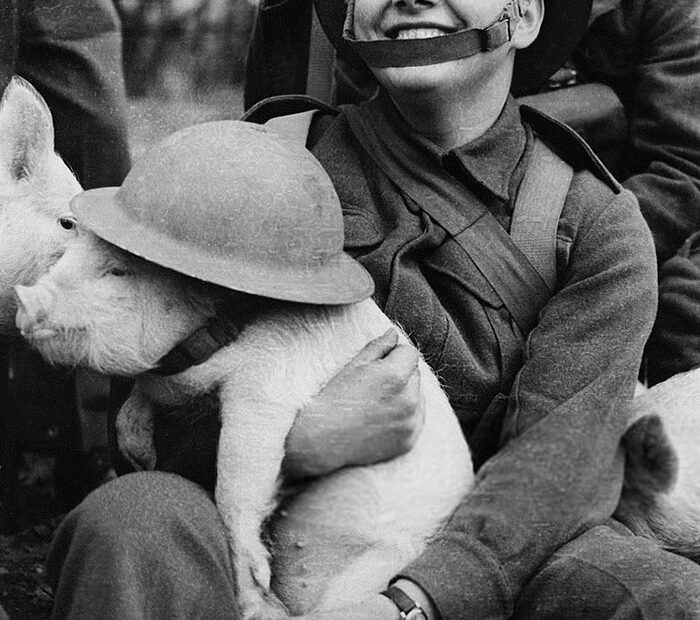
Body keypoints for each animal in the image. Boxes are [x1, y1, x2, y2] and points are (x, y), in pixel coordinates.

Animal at [15, 229, 476, 620]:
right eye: (67, 253)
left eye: (117, 271)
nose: (23, 299)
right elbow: (141, 396)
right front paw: (140, 456)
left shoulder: (264, 388)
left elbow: (238, 476)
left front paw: (254, 586)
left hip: (377, 566)